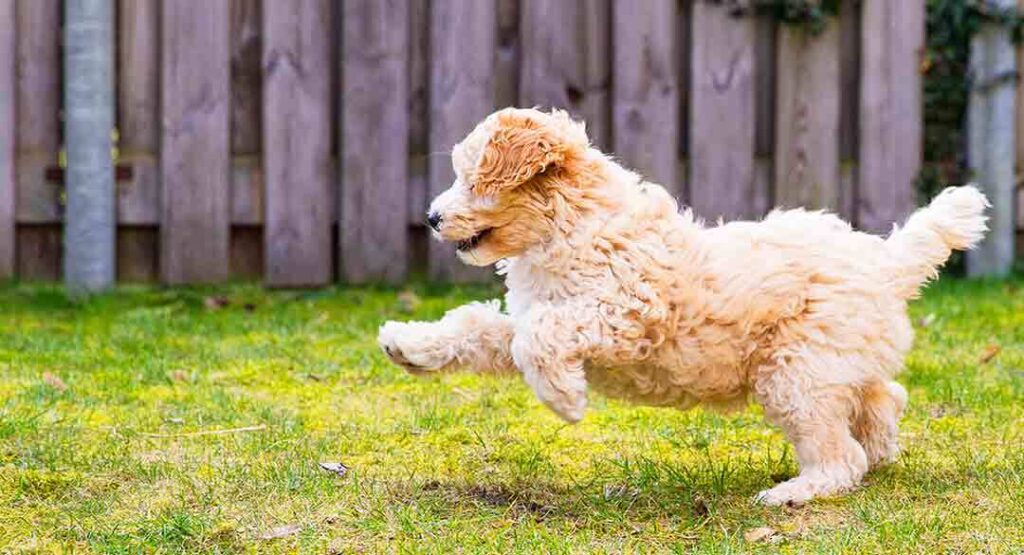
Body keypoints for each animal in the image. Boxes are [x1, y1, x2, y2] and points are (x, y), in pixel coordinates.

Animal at [380, 106, 987, 507]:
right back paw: (881, 450)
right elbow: (478, 326)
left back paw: (795, 493)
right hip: (836, 361)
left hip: (796, 372)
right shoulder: (533, 314)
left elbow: (542, 336)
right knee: (884, 397)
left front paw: (565, 399)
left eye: (470, 177)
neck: (573, 227)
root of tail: (886, 262)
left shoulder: (623, 312)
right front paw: (407, 344)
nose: (431, 218)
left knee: (842, 454)